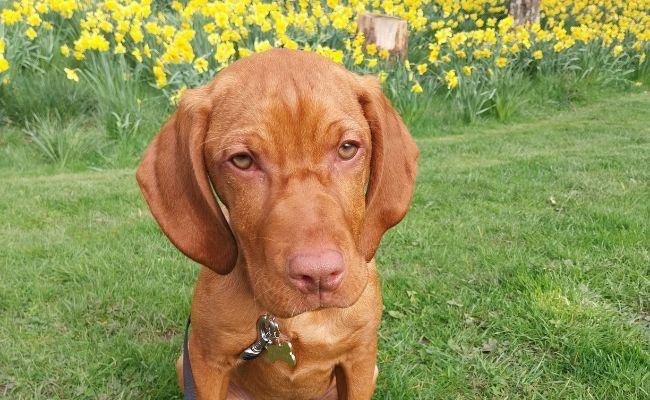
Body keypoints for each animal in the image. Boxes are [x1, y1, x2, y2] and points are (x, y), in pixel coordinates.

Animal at [137, 48, 418, 398]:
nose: (318, 275)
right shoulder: (206, 360)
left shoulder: (361, 358)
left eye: (347, 149)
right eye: (243, 160)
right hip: (183, 362)